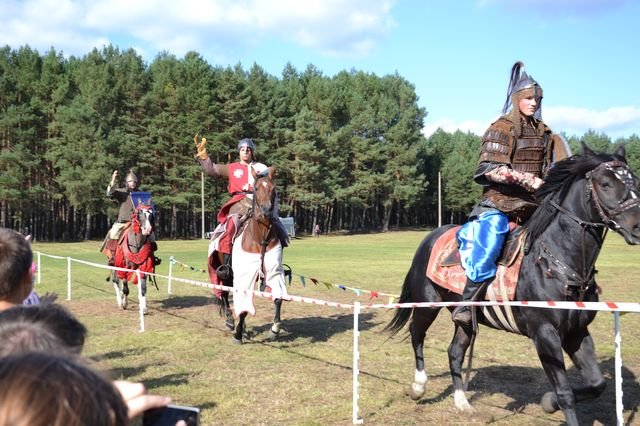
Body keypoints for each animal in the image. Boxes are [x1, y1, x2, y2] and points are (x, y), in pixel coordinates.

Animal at [208, 167, 288, 344]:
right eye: (256, 188)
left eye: (273, 189)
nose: (266, 210)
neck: (260, 237)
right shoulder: (244, 276)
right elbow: (243, 308)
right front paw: (238, 334)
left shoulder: (274, 272)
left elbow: (278, 298)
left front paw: (275, 329)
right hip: (226, 273)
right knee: (225, 293)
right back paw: (230, 321)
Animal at [385, 144, 640, 425]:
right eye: (605, 184)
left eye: (636, 181)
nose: (637, 227)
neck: (557, 263)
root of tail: (431, 237)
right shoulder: (545, 335)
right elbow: (565, 393)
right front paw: (553, 401)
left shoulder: (577, 331)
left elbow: (597, 384)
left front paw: (548, 402)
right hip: (428, 304)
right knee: (416, 334)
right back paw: (418, 387)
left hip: (465, 318)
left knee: (455, 352)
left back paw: (462, 402)